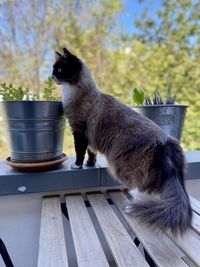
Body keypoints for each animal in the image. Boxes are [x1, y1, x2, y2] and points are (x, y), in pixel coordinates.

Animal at [52, 48, 192, 237]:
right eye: (54, 69)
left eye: (60, 69)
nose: (52, 75)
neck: (76, 92)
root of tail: (167, 145)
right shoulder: (90, 139)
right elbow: (91, 153)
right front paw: (89, 164)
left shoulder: (79, 131)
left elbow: (80, 152)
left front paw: (78, 165)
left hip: (121, 167)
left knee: (143, 187)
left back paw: (136, 198)